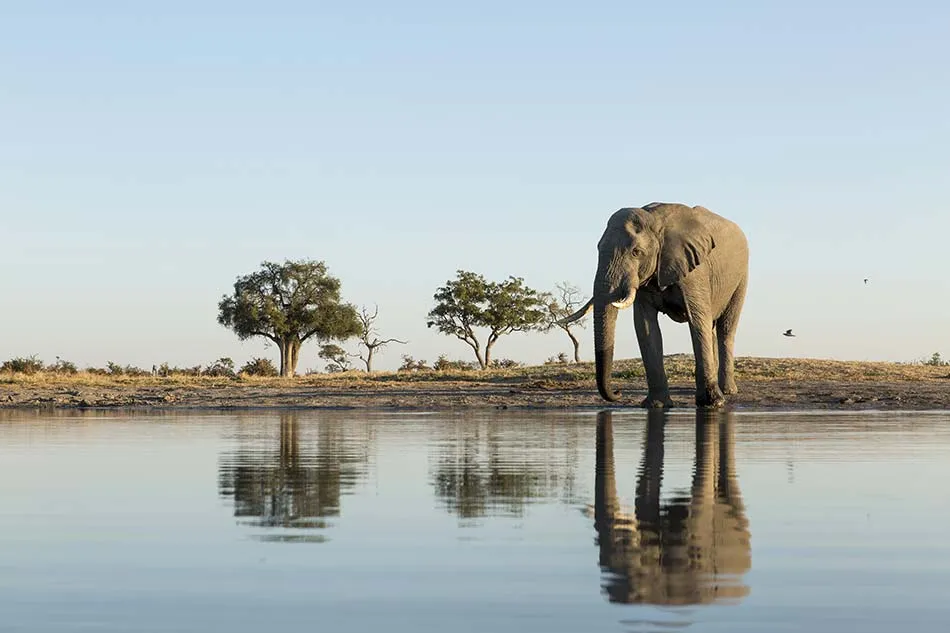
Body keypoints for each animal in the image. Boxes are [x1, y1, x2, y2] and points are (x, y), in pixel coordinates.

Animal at [561, 202, 749, 408]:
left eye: (636, 252)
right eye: (598, 249)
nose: (618, 392)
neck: (655, 220)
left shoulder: (695, 273)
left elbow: (697, 323)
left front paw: (713, 403)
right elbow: (645, 326)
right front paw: (657, 405)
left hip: (741, 276)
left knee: (725, 329)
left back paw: (728, 391)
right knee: (712, 329)